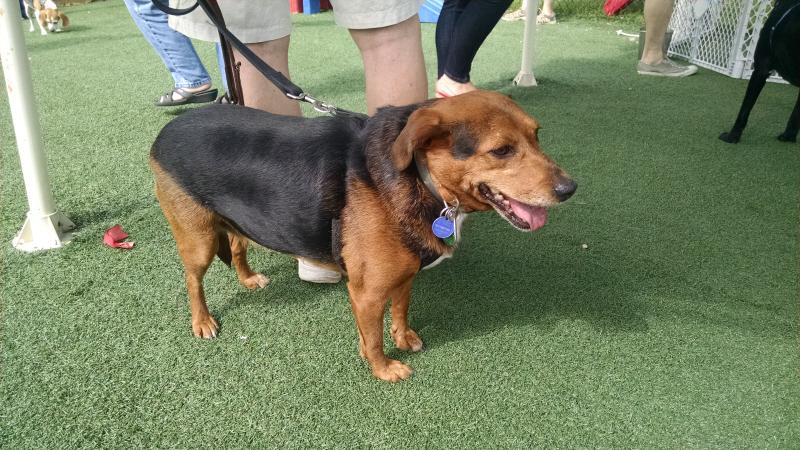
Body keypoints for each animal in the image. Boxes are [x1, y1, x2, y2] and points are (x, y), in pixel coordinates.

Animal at [150, 90, 576, 380]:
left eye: (537, 136)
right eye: (502, 150)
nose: (570, 189)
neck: (418, 177)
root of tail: (167, 130)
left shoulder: (404, 274)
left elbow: (400, 310)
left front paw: (403, 338)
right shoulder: (366, 293)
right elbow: (371, 338)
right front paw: (383, 367)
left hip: (237, 221)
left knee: (237, 246)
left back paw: (248, 278)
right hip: (199, 240)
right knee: (192, 280)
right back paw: (202, 321)